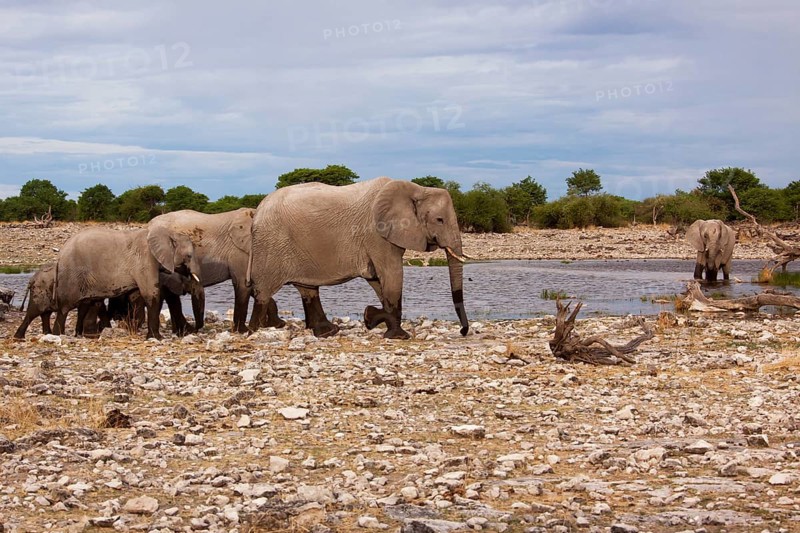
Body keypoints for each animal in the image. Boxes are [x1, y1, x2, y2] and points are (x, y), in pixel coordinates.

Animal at [53, 226, 201, 339]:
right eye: (189, 256)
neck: (168, 232)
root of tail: (60, 254)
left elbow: (135, 296)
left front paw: (130, 326)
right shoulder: (145, 260)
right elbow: (151, 293)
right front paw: (156, 338)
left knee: (91, 302)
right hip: (71, 275)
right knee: (65, 306)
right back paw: (57, 334)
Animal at [247, 177, 469, 339]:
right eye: (439, 220)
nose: (463, 331)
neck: (417, 189)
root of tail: (257, 211)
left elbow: (378, 281)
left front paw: (370, 318)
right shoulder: (376, 234)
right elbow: (392, 275)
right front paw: (398, 335)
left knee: (308, 289)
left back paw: (328, 332)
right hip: (272, 245)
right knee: (263, 291)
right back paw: (252, 331)